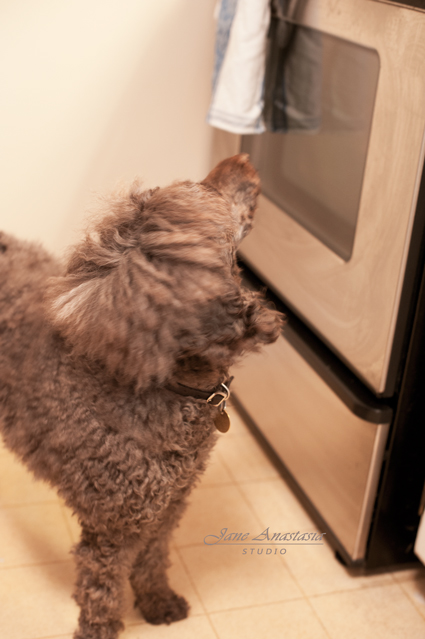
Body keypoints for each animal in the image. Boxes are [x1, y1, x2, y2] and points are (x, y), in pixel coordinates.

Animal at [0, 155, 282, 639]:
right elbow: (102, 592)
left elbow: (152, 560)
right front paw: (99, 630)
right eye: (209, 190)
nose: (240, 158)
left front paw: (157, 601)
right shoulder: (110, 530)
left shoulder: (168, 505)